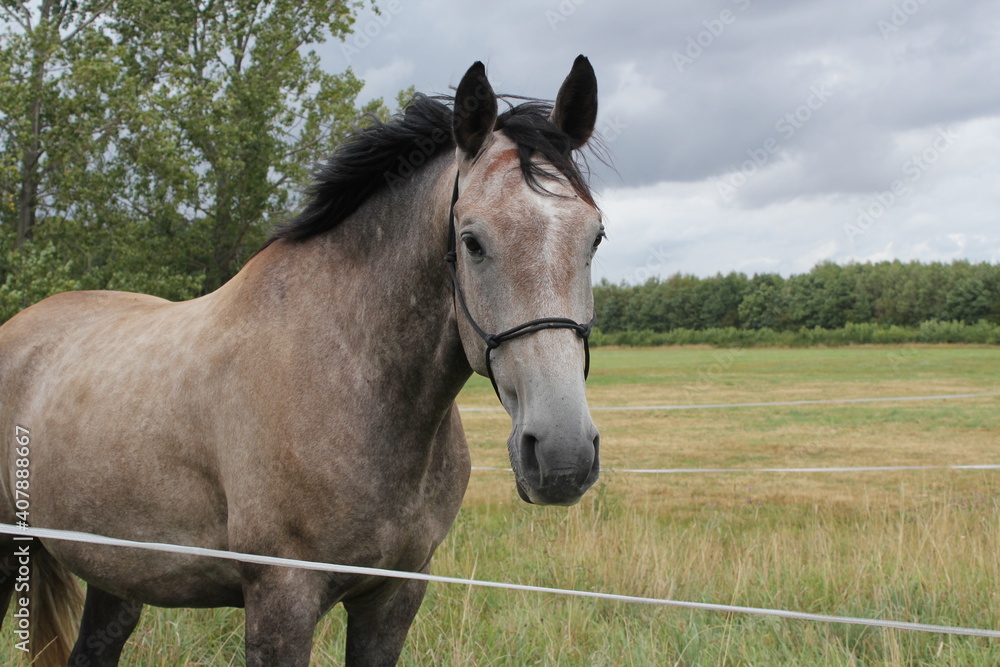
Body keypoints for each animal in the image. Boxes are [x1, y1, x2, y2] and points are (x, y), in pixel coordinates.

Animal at [0, 56, 603, 666]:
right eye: (473, 241)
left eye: (595, 237)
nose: (563, 456)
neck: (348, 377)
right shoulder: (282, 596)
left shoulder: (393, 598)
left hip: (119, 573)